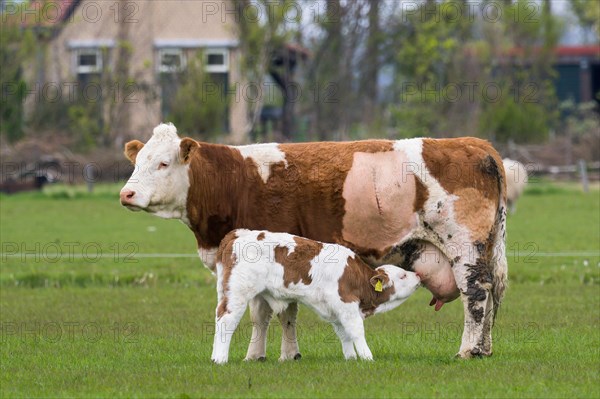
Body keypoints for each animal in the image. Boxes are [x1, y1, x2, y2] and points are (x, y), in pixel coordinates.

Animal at [211, 230, 422, 364]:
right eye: (402, 276)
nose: (419, 275)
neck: (354, 276)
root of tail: (238, 233)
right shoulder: (347, 304)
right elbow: (356, 331)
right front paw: (367, 357)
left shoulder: (336, 311)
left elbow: (344, 334)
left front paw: (351, 358)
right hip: (238, 292)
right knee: (226, 320)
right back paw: (220, 359)